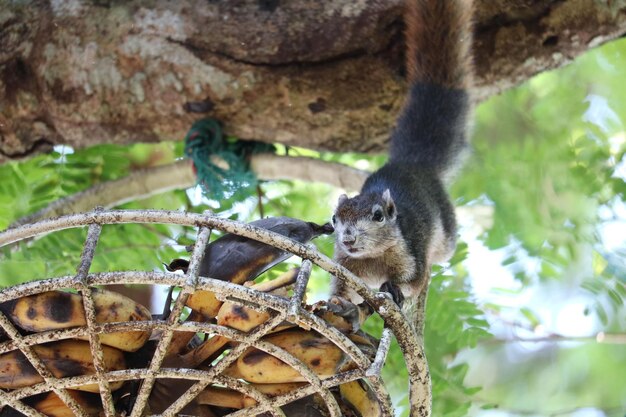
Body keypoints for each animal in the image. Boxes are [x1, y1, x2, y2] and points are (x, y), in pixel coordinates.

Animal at [330, 0, 470, 326]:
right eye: (334, 219)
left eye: (378, 216)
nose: (348, 238)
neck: (373, 258)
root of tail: (413, 164)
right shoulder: (344, 265)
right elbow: (341, 289)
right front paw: (340, 304)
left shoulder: (412, 253)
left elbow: (412, 282)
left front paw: (393, 288)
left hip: (446, 237)